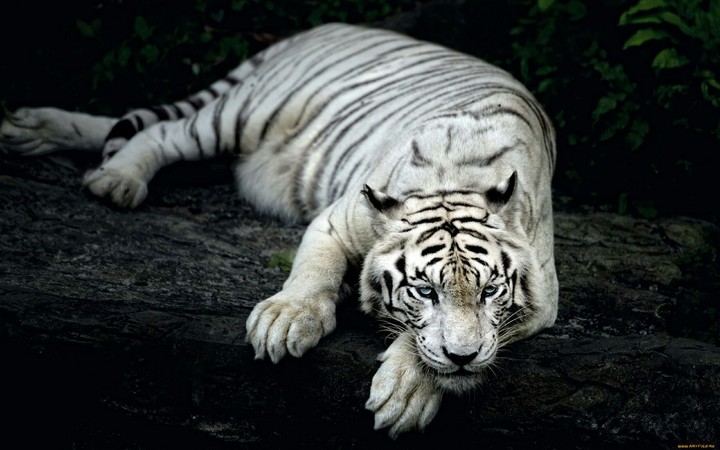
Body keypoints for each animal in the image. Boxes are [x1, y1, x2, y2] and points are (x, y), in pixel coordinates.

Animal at [0, 23, 558, 437]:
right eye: (425, 291)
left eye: (489, 292)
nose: (463, 358)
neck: (454, 180)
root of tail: (324, 27)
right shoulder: (335, 219)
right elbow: (312, 274)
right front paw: (285, 322)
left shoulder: (544, 296)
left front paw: (408, 390)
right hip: (243, 113)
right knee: (157, 132)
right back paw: (113, 178)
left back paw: (28, 131)